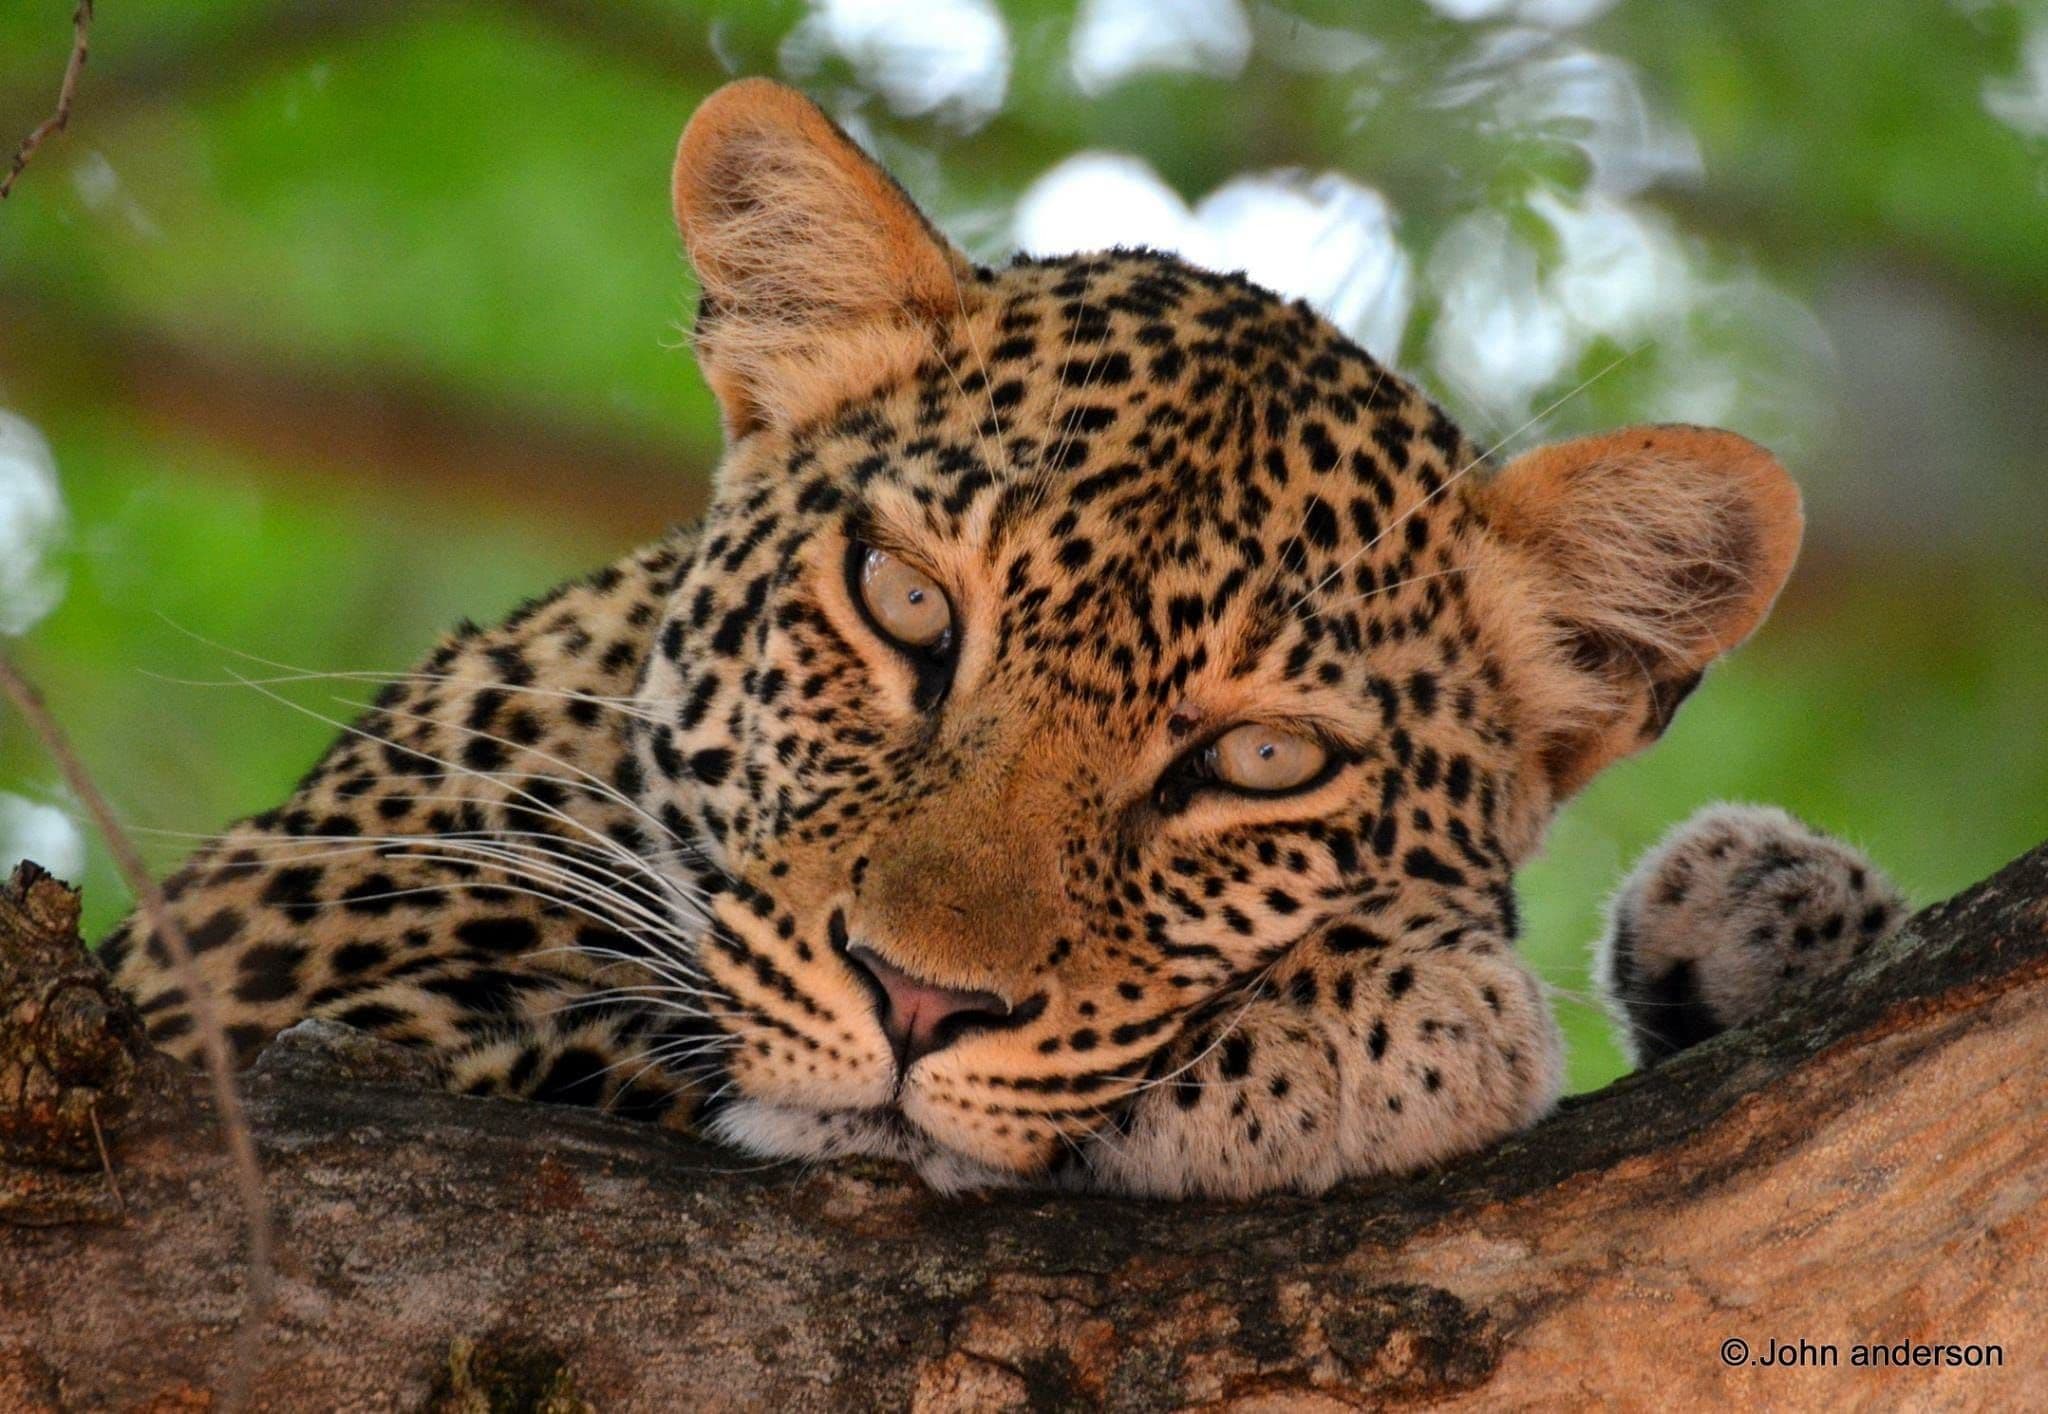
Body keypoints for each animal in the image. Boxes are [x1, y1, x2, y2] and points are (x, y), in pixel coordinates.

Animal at [98, 79, 1907, 1199]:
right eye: (906, 603)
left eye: (1259, 759)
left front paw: (1774, 909)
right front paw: (1360, 1025)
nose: (914, 1001)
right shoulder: (270, 1007)